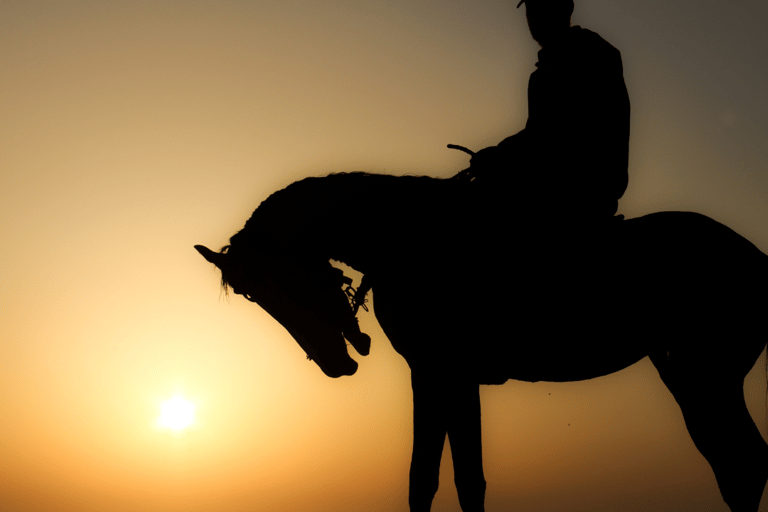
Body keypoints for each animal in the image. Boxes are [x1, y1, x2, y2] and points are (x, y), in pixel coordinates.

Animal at [195, 171, 768, 512]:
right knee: (734, 461)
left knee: (742, 462)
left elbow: (445, 477)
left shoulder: (438, 371)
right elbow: (444, 478)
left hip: (707, 375)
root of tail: (754, 256)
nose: (335, 363)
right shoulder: (444, 376)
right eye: (253, 295)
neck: (407, 240)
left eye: (280, 282)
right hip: (688, 379)